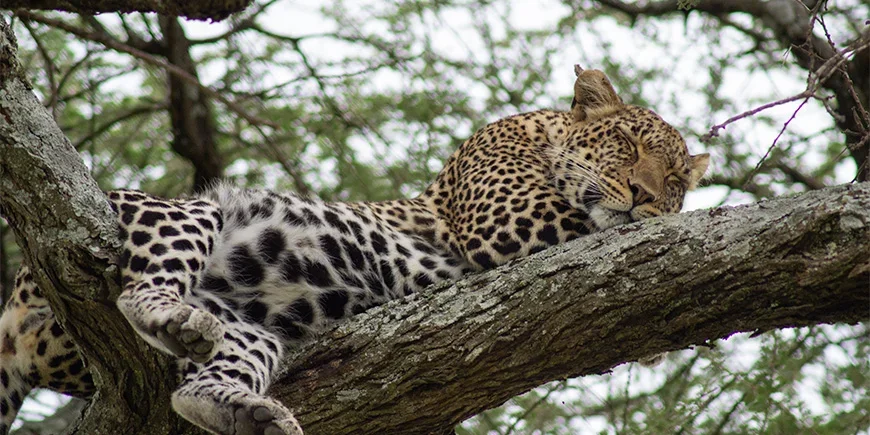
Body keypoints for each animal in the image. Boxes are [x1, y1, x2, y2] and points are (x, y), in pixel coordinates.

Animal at [0, 66, 709, 435]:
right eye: (626, 144)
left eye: (677, 180)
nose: (648, 197)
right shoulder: (510, 222)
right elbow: (590, 223)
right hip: (175, 211)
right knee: (143, 285)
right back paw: (165, 311)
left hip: (248, 332)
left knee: (201, 379)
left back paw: (239, 407)